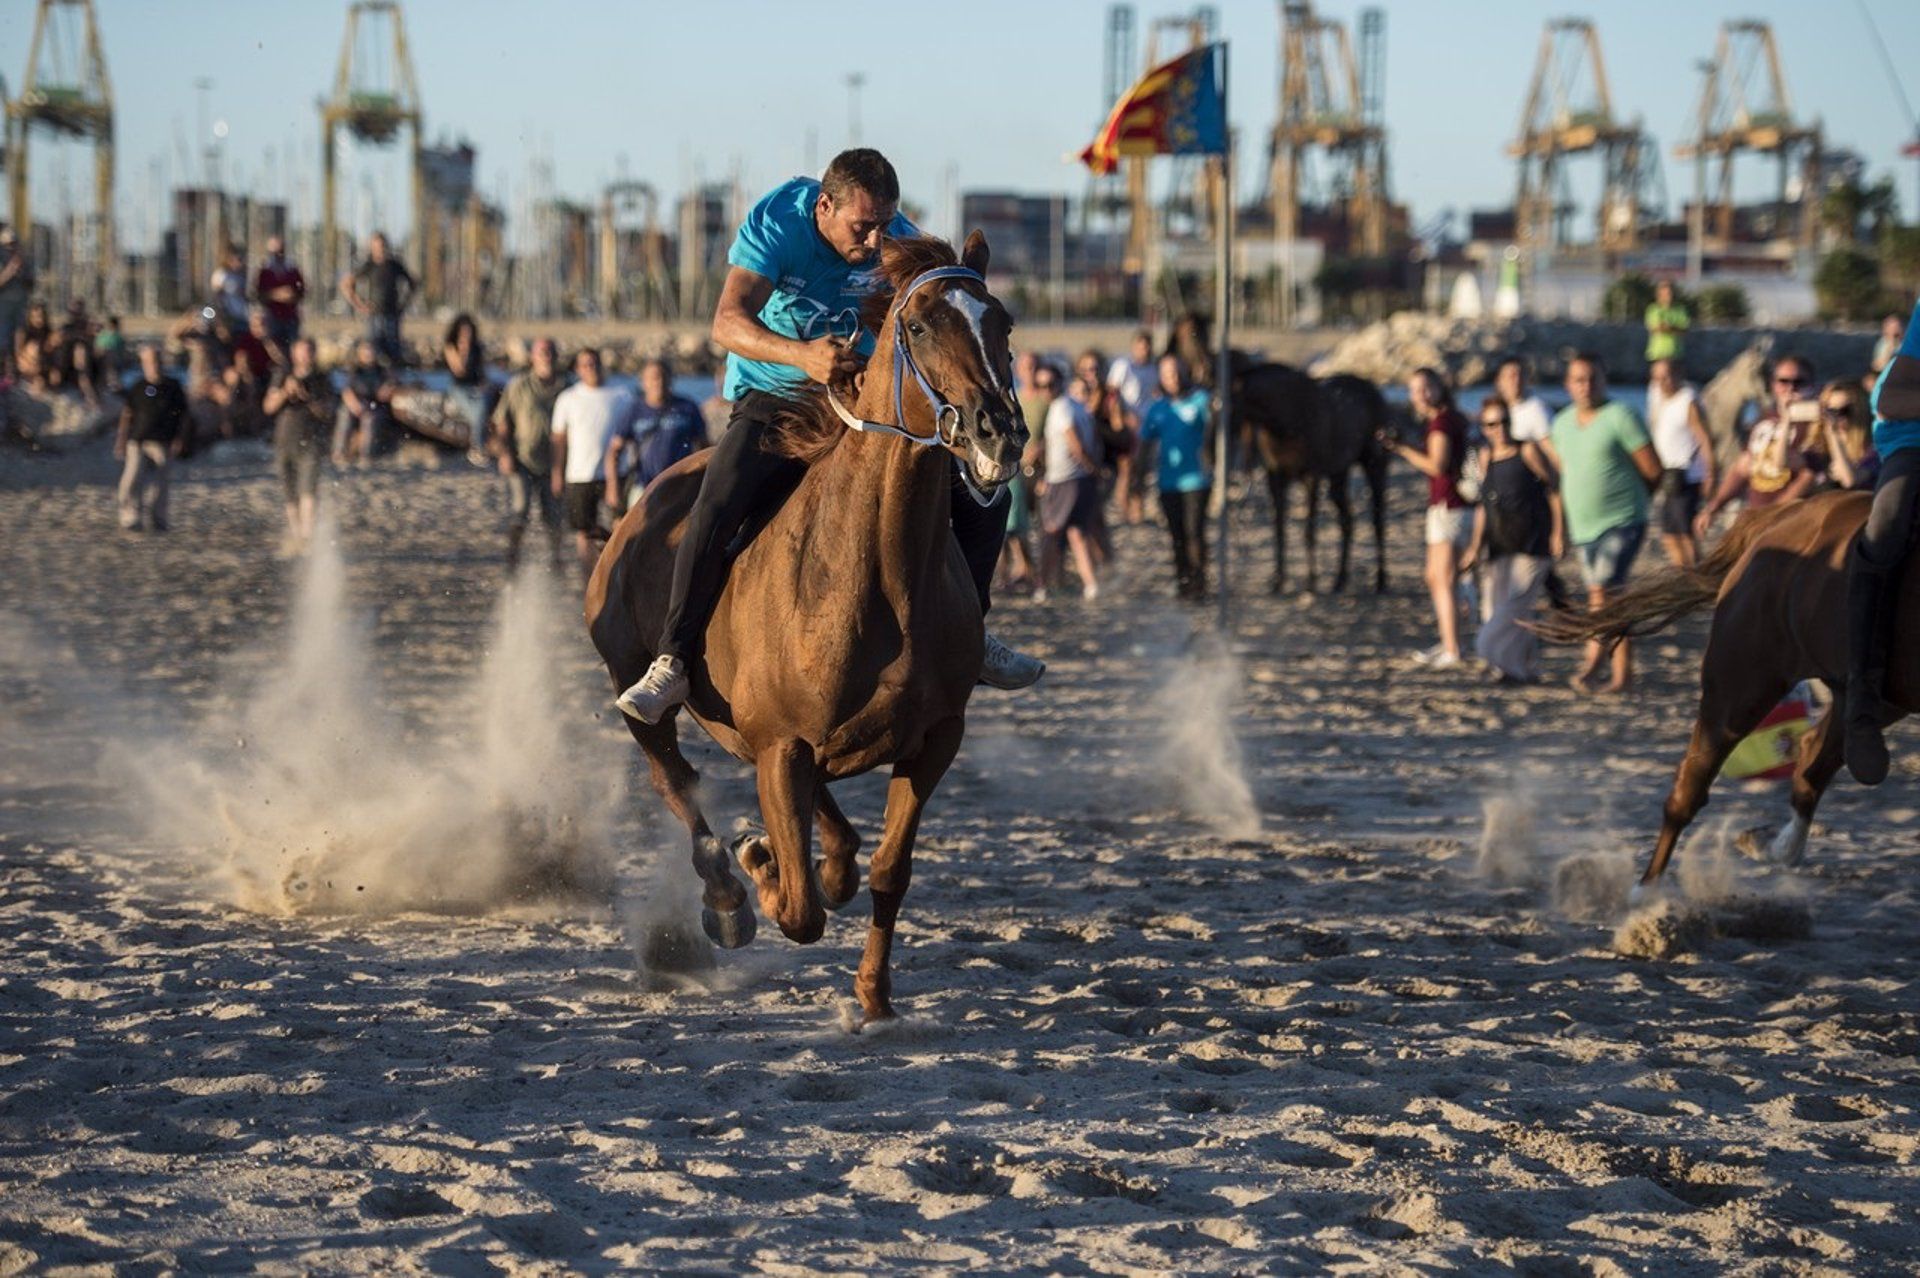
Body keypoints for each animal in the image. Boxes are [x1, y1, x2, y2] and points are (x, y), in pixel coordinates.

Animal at [587, 234, 1029, 1020]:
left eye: (1001, 322)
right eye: (919, 326)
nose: (997, 433)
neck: (876, 569)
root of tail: (638, 512)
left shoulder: (934, 740)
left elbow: (888, 870)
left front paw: (873, 996)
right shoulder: (782, 745)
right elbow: (797, 909)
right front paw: (759, 865)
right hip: (635, 683)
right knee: (676, 781)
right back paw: (728, 894)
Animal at [1543, 489, 1904, 894]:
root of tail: (1786, 514)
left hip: (1866, 696)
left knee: (1814, 758)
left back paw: (1769, 846)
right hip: (1741, 681)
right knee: (1695, 779)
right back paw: (1647, 888)